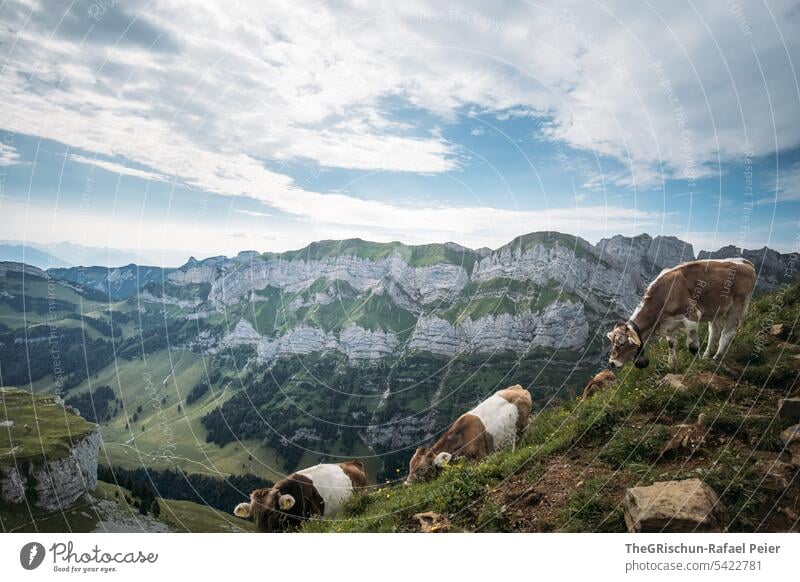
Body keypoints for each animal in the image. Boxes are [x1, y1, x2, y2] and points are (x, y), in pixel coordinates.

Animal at [608, 260, 756, 370]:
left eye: (621, 343)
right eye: (612, 342)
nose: (611, 363)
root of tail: (745, 262)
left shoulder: (692, 317)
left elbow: (693, 346)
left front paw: (696, 365)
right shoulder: (669, 324)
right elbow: (671, 344)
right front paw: (671, 365)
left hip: (738, 305)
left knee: (726, 333)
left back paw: (716, 357)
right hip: (716, 310)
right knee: (714, 332)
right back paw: (707, 356)